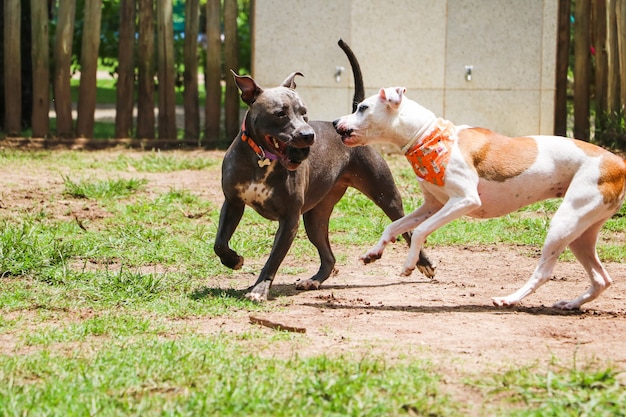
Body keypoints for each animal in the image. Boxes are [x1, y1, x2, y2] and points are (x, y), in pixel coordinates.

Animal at [214, 39, 434, 300]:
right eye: (280, 113)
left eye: (304, 112)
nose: (309, 135)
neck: (263, 160)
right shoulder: (233, 203)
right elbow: (219, 243)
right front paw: (234, 260)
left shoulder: (289, 220)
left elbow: (273, 259)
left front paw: (259, 289)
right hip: (315, 219)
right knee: (329, 257)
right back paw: (314, 281)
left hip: (387, 198)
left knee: (407, 229)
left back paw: (424, 264)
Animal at [332, 87, 624, 308]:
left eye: (363, 107)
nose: (335, 123)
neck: (427, 136)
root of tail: (618, 163)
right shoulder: (432, 205)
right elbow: (394, 226)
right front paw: (374, 252)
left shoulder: (464, 201)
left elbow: (420, 232)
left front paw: (409, 264)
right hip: (581, 234)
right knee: (602, 279)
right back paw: (570, 304)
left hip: (564, 223)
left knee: (544, 273)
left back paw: (509, 299)